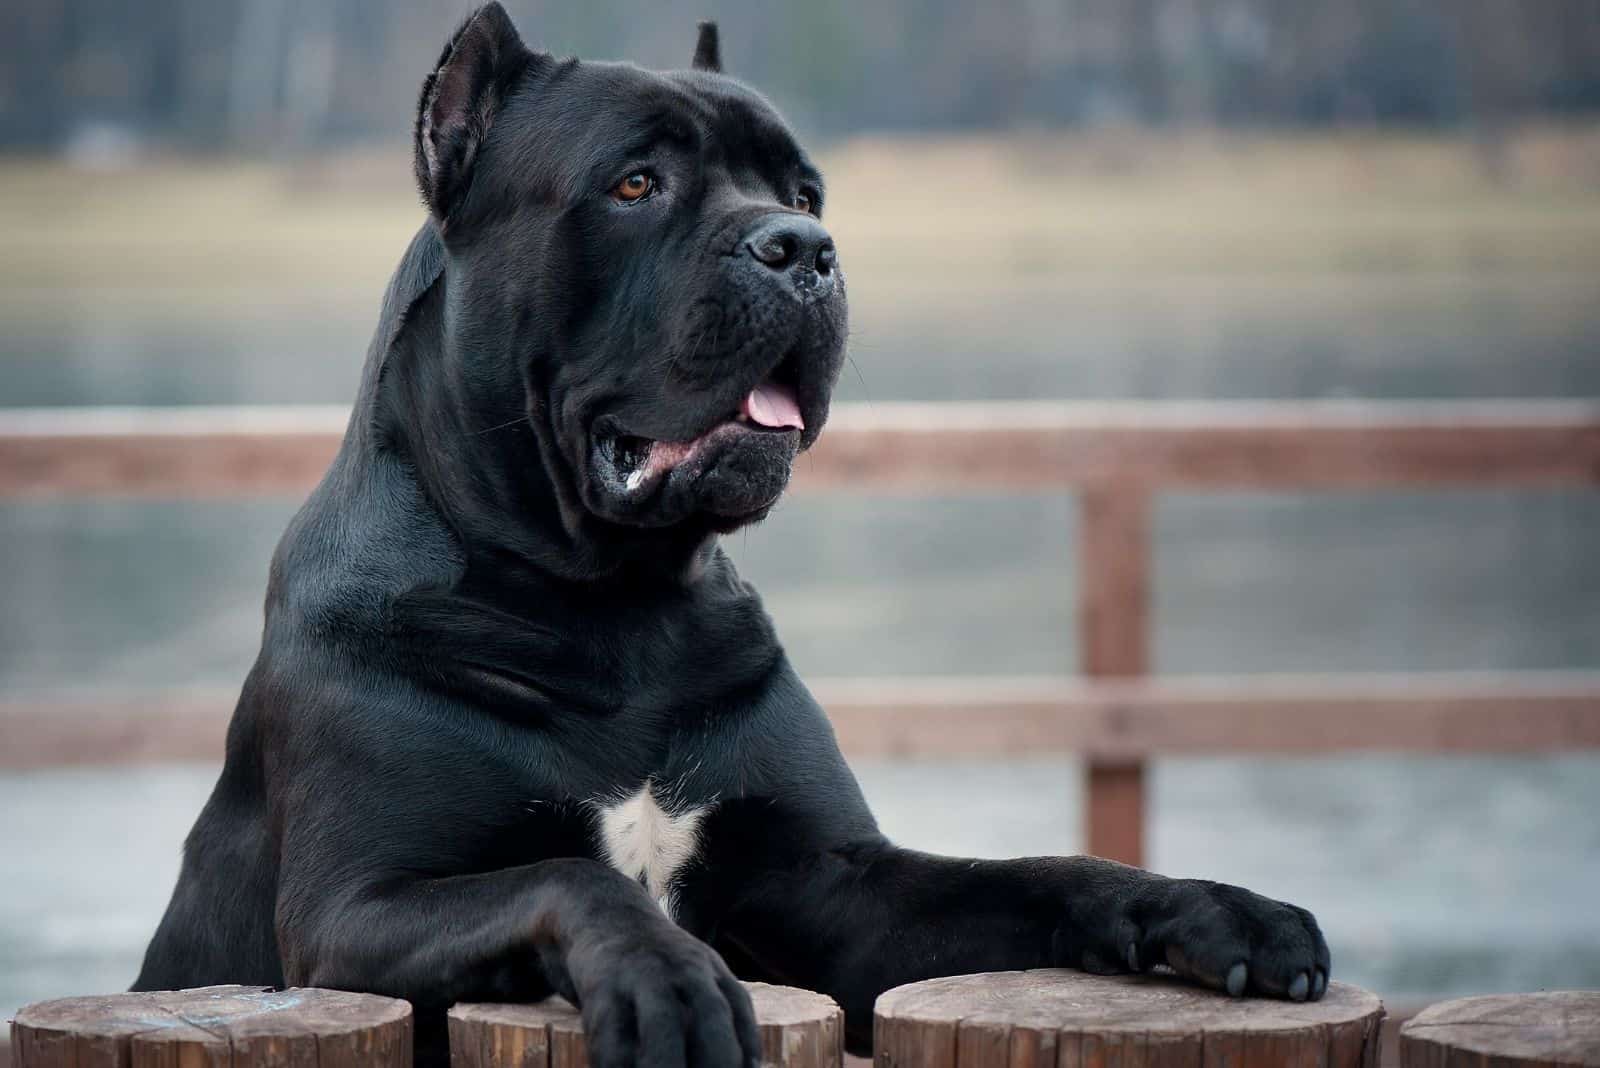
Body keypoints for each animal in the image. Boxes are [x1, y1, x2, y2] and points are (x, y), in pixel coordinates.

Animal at [137, 6, 1331, 1061]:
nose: (804, 246)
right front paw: (669, 980)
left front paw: (1217, 908)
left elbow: (1042, 873)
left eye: (802, 192)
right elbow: (567, 875)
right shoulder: (352, 910)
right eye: (634, 184)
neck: (610, 602)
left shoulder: (837, 885)